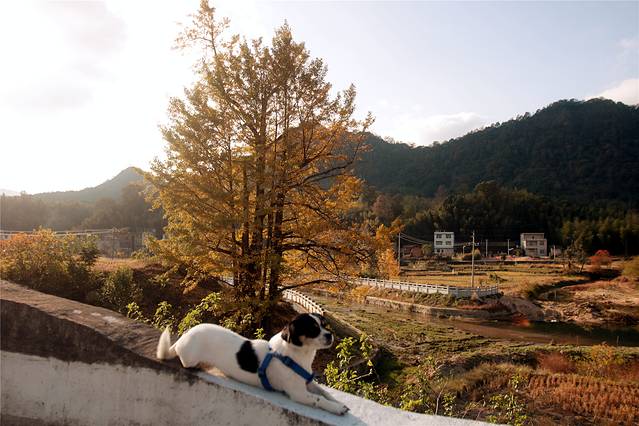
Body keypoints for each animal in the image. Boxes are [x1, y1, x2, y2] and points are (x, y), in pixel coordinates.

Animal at [156, 313, 349, 415]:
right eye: (313, 329)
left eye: (324, 325)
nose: (330, 335)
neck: (296, 355)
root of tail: (182, 339)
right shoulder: (298, 393)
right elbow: (318, 399)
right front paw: (336, 408)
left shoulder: (308, 382)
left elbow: (324, 393)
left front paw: (338, 403)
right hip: (190, 358)